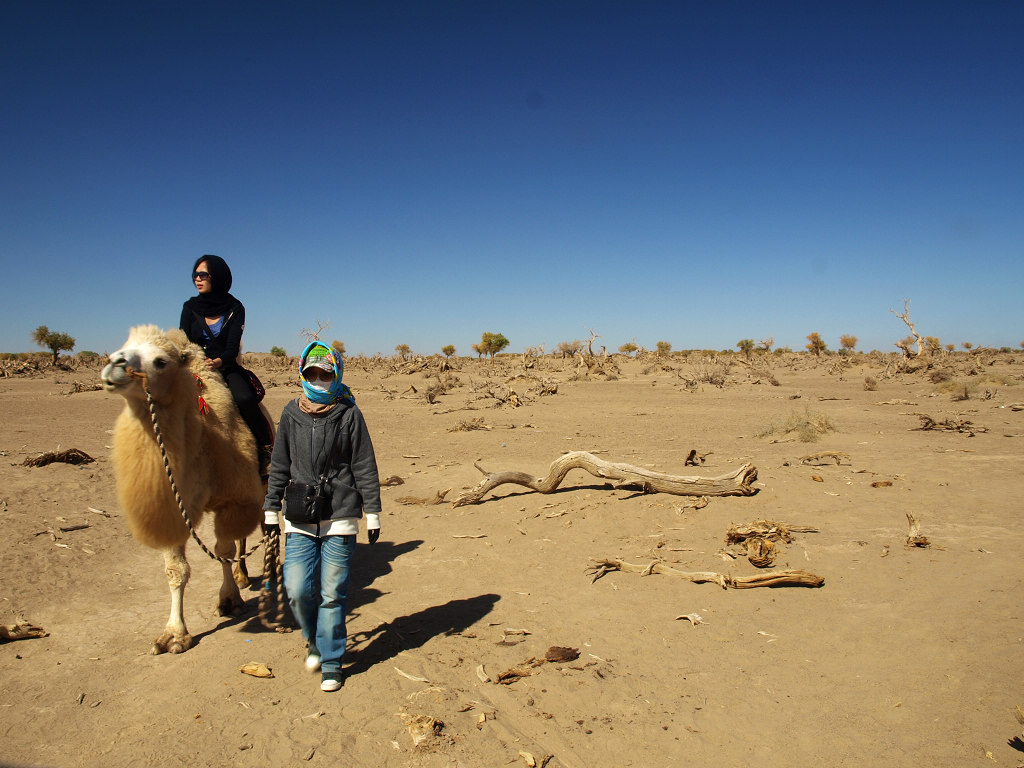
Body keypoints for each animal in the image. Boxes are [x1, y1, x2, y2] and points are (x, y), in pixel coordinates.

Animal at [101, 325, 270, 655]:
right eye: (124, 344)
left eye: (160, 361)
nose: (115, 364)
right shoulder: (175, 508)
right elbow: (176, 570)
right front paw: (174, 635)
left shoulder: (233, 499)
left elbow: (223, 551)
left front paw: (229, 600)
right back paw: (243, 576)